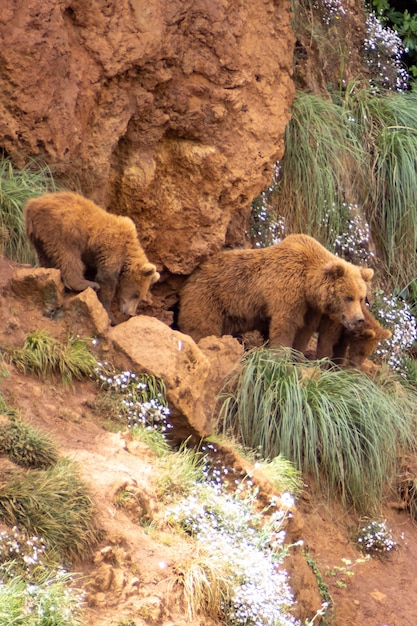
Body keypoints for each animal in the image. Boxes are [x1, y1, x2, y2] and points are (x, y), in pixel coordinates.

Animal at [24, 189, 159, 322]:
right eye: (136, 294)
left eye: (140, 296)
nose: (131, 313)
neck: (128, 250)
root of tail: (32, 205)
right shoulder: (112, 249)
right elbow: (106, 279)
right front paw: (110, 315)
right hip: (62, 228)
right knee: (68, 256)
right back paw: (85, 284)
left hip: (40, 237)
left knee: (46, 256)